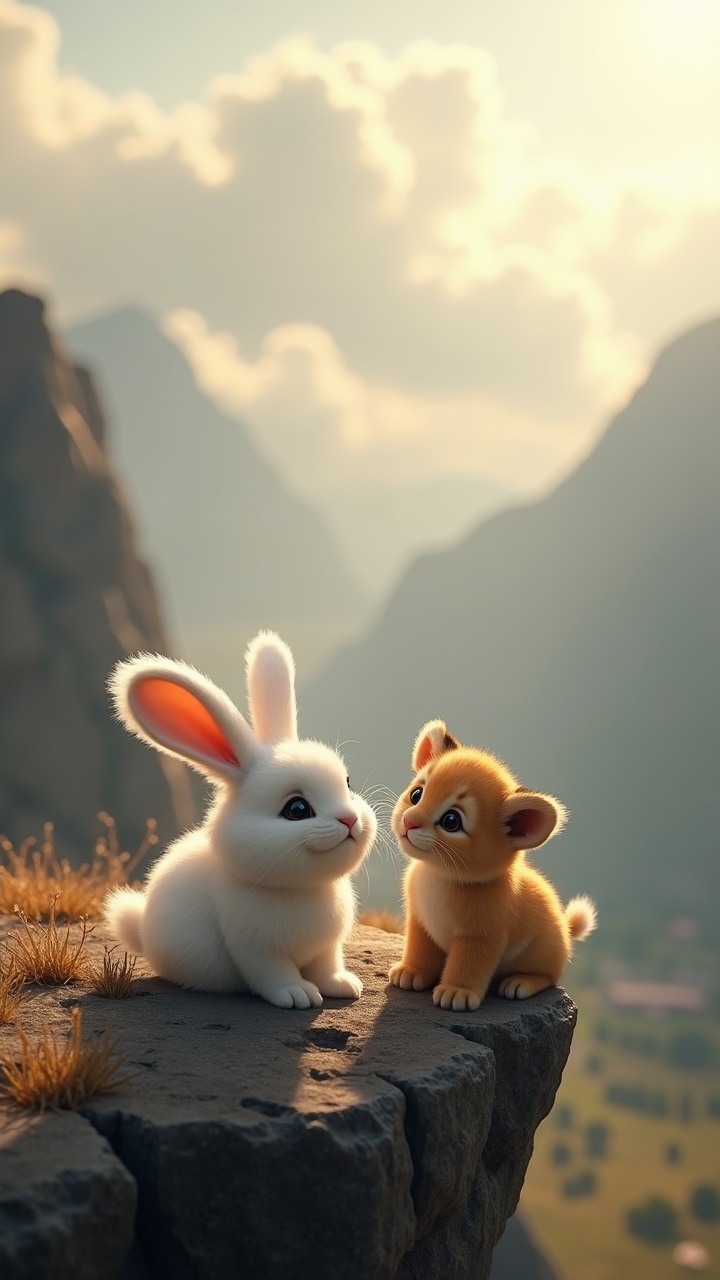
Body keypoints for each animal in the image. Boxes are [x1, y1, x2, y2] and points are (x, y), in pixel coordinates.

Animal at [106, 629, 379, 1008]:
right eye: (297, 810)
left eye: (348, 784)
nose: (350, 820)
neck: (301, 889)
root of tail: (142, 928)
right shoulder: (253, 948)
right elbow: (272, 974)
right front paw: (298, 995)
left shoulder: (328, 946)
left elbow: (328, 966)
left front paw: (343, 985)